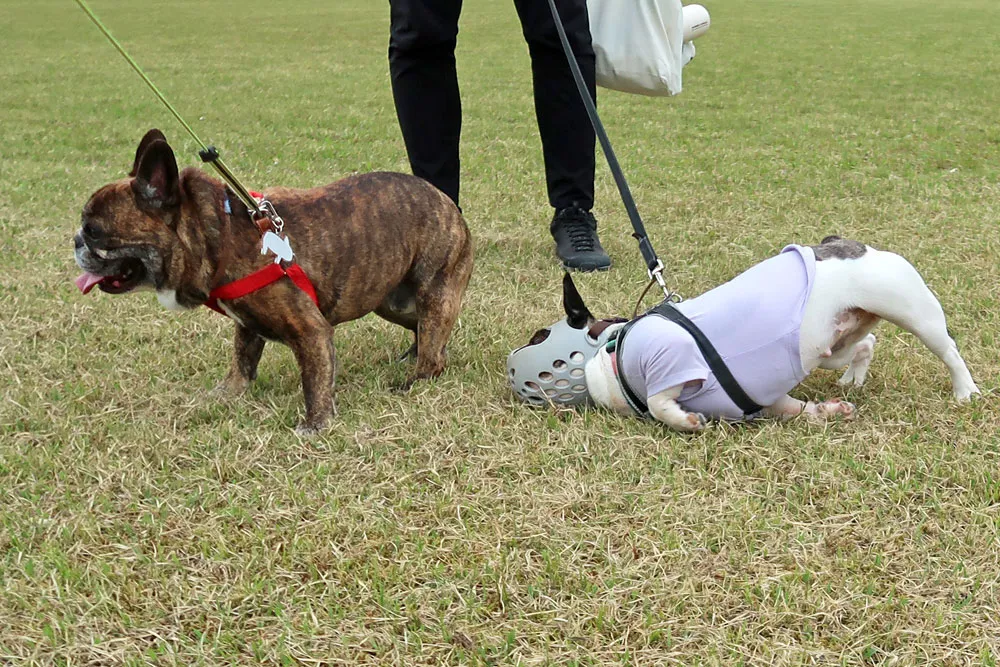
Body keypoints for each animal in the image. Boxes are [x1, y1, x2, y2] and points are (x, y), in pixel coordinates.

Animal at [74, 129, 472, 438]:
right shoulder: (247, 326)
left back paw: (415, 379)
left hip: (433, 292)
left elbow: (314, 380)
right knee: (424, 331)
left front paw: (315, 424)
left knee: (434, 350)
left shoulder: (311, 331)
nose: (75, 240)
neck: (218, 234)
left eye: (94, 230)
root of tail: (447, 202)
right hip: (390, 302)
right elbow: (241, 362)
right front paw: (227, 394)